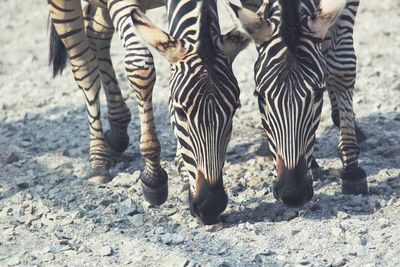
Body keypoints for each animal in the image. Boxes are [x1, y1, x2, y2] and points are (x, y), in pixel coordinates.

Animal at [46, 0, 247, 225]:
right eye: (181, 113)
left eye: (234, 109)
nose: (210, 206)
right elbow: (140, 67)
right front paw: (154, 177)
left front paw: (182, 170)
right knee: (84, 67)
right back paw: (98, 162)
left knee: (97, 35)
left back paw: (117, 133)